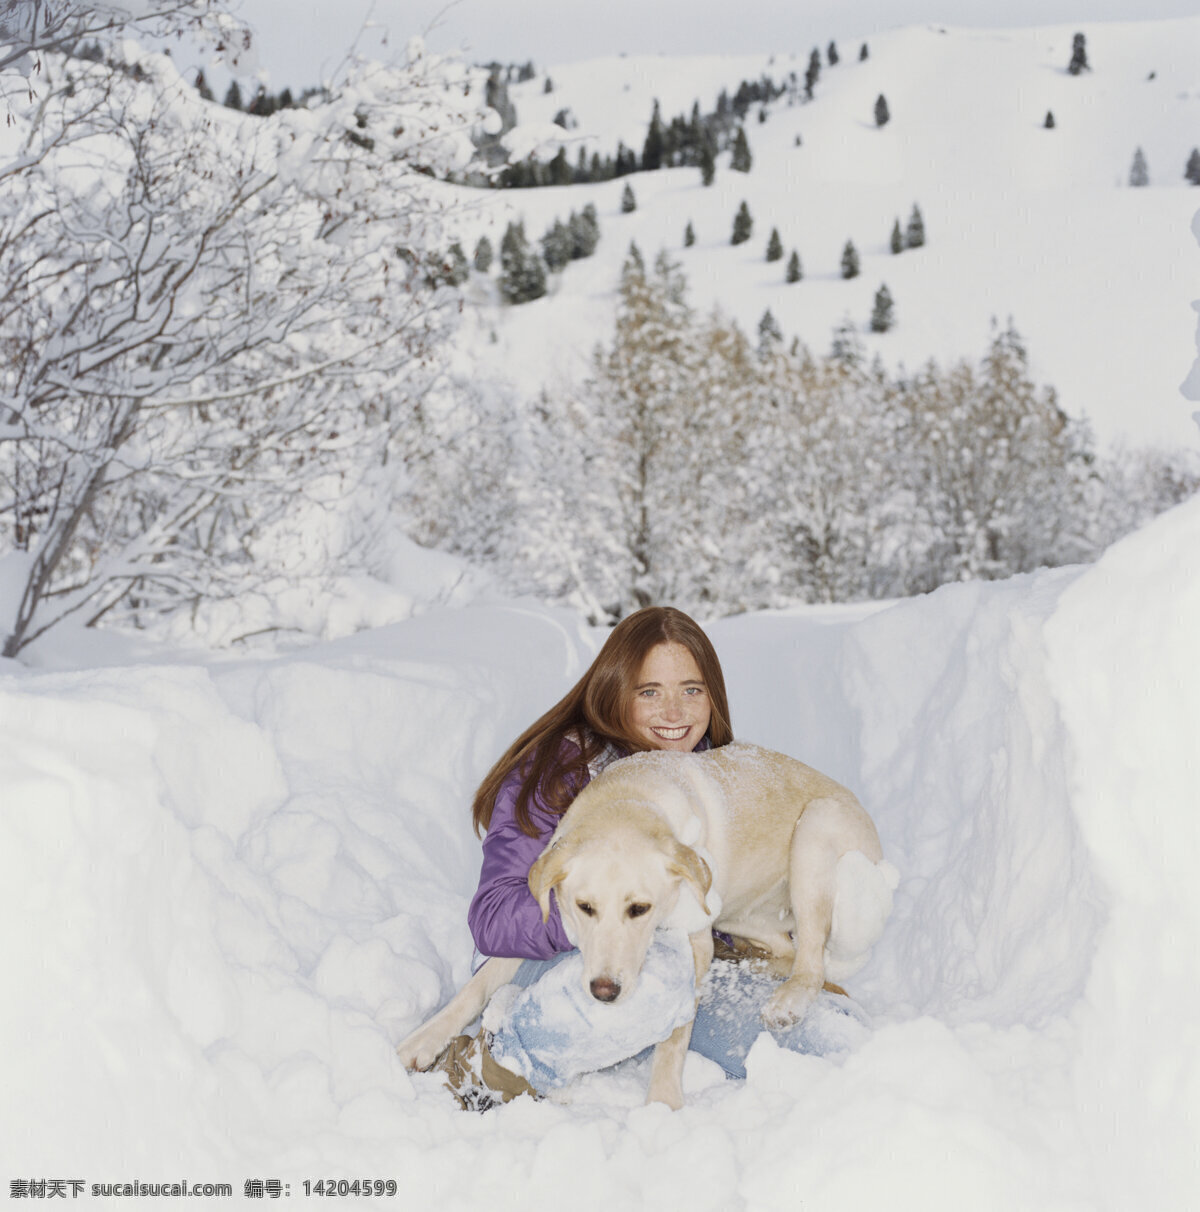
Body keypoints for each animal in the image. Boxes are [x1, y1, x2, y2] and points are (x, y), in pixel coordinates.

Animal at [400, 736, 896, 1110]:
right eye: (584, 907)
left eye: (639, 909)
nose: (604, 991)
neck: (627, 800)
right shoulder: (541, 927)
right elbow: (473, 989)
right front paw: (422, 1041)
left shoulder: (693, 943)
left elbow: (673, 1037)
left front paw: (661, 1106)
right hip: (741, 910)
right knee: (788, 950)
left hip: (816, 832)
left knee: (811, 957)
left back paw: (787, 999)